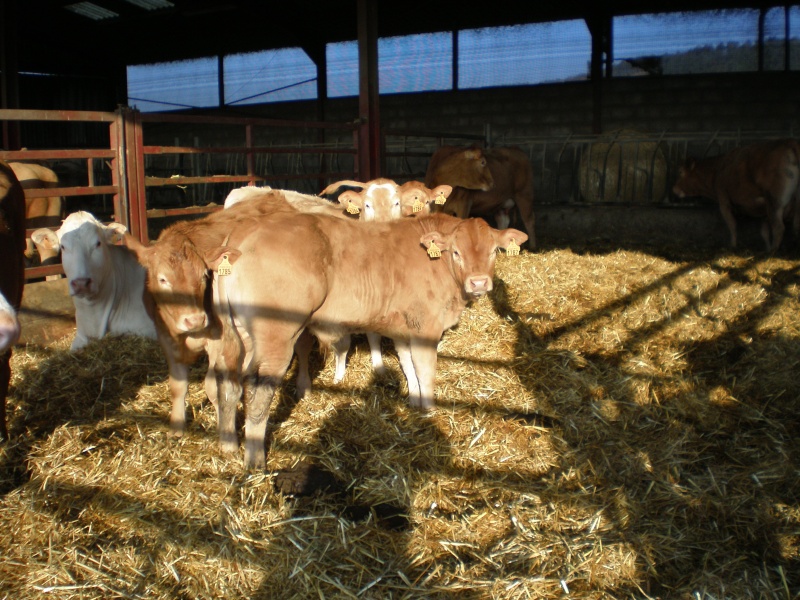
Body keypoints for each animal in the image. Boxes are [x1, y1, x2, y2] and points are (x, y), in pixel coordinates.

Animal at [668, 138, 800, 251]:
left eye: (680, 172)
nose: (674, 188)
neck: (717, 170)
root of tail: (790, 143)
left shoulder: (724, 200)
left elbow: (732, 225)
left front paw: (732, 245)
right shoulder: (764, 210)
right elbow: (764, 232)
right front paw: (766, 248)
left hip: (774, 200)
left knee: (779, 228)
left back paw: (772, 252)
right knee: (795, 226)